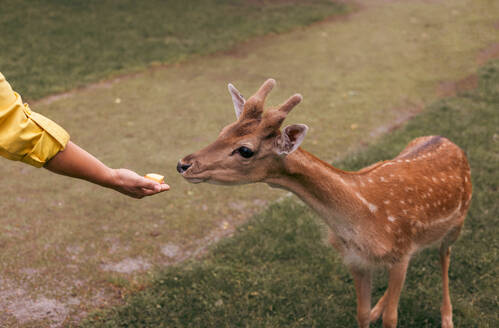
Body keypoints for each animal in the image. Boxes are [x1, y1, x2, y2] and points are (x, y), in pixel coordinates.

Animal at [179, 79, 472, 328]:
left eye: (245, 150)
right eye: (223, 130)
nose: (183, 164)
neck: (364, 218)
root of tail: (448, 140)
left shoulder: (401, 251)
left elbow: (392, 319)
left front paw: (389, 313)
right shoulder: (355, 259)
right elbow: (361, 313)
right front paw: (372, 311)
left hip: (459, 220)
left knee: (444, 256)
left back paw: (447, 318)